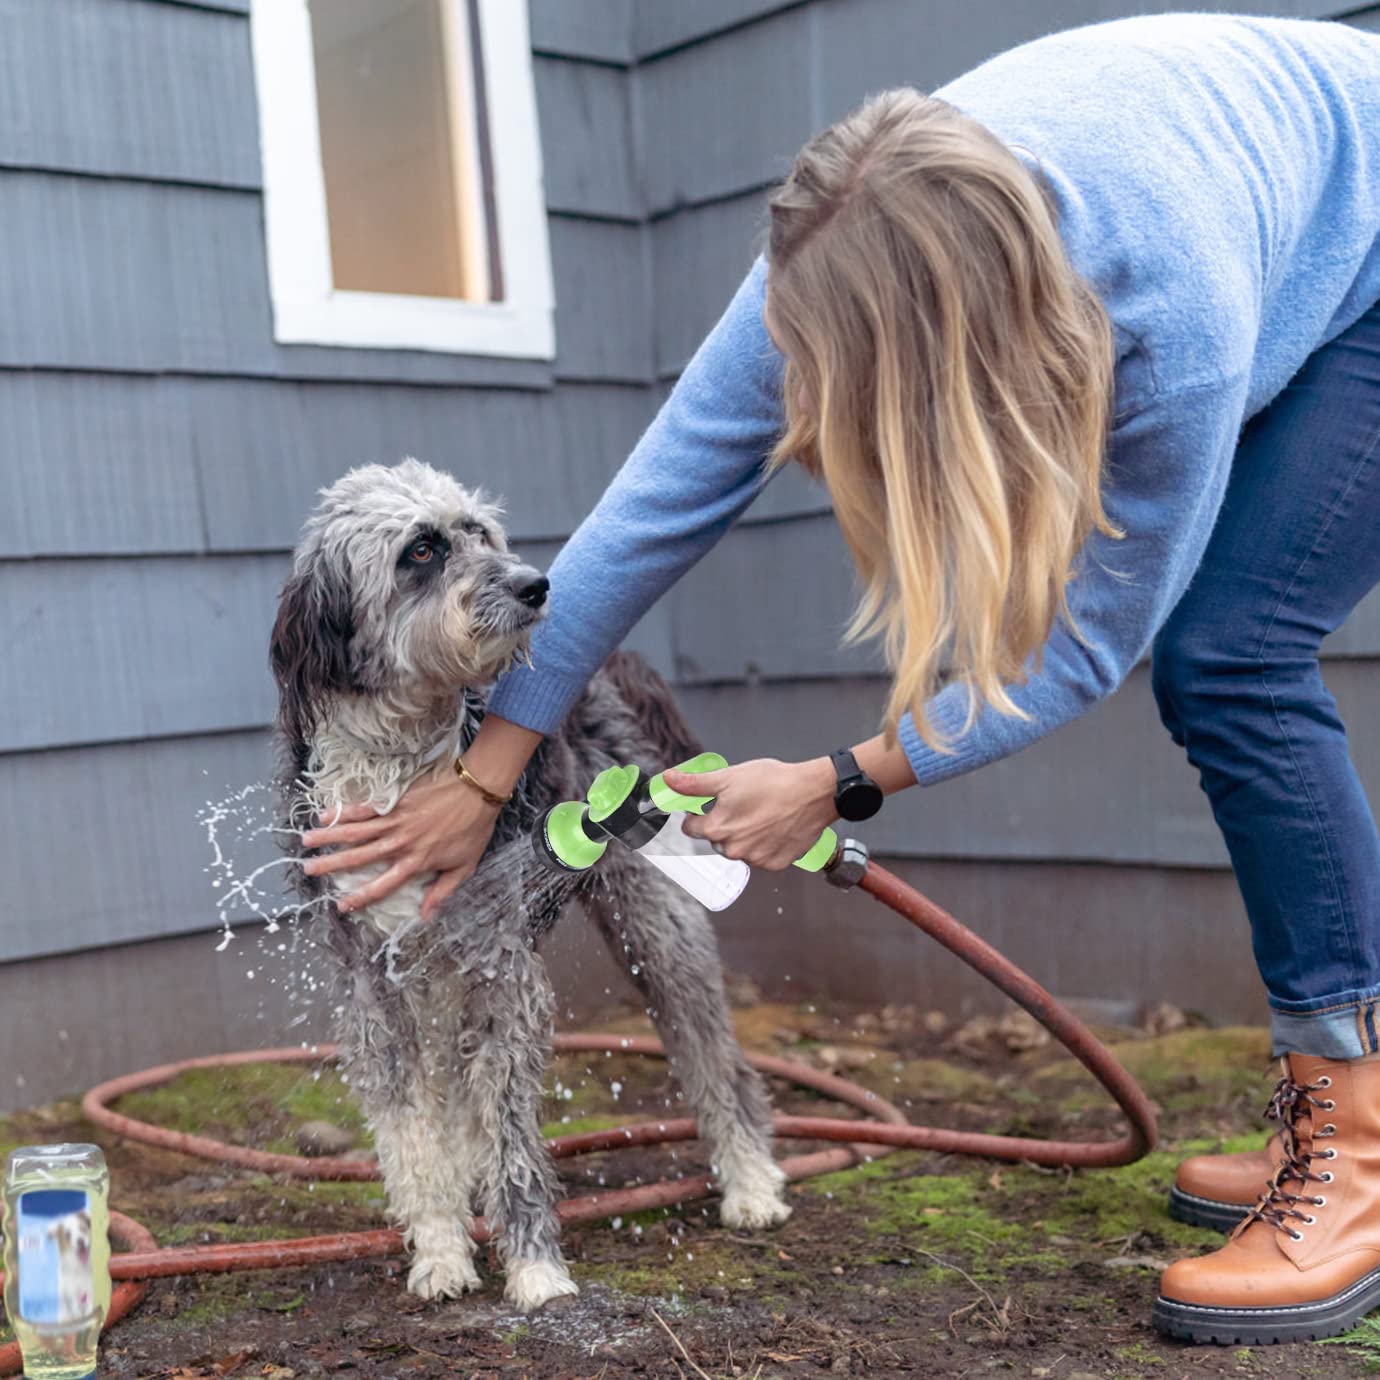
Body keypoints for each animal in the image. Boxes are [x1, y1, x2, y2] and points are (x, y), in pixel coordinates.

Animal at [269, 458, 789, 1308]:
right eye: (421, 550)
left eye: (480, 531)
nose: (537, 585)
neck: (406, 760)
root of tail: (623, 661)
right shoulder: (374, 985)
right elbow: (414, 1135)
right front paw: (440, 1253)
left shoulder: (498, 966)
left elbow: (509, 1129)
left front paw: (537, 1270)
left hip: (659, 922)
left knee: (719, 1061)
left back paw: (752, 1185)